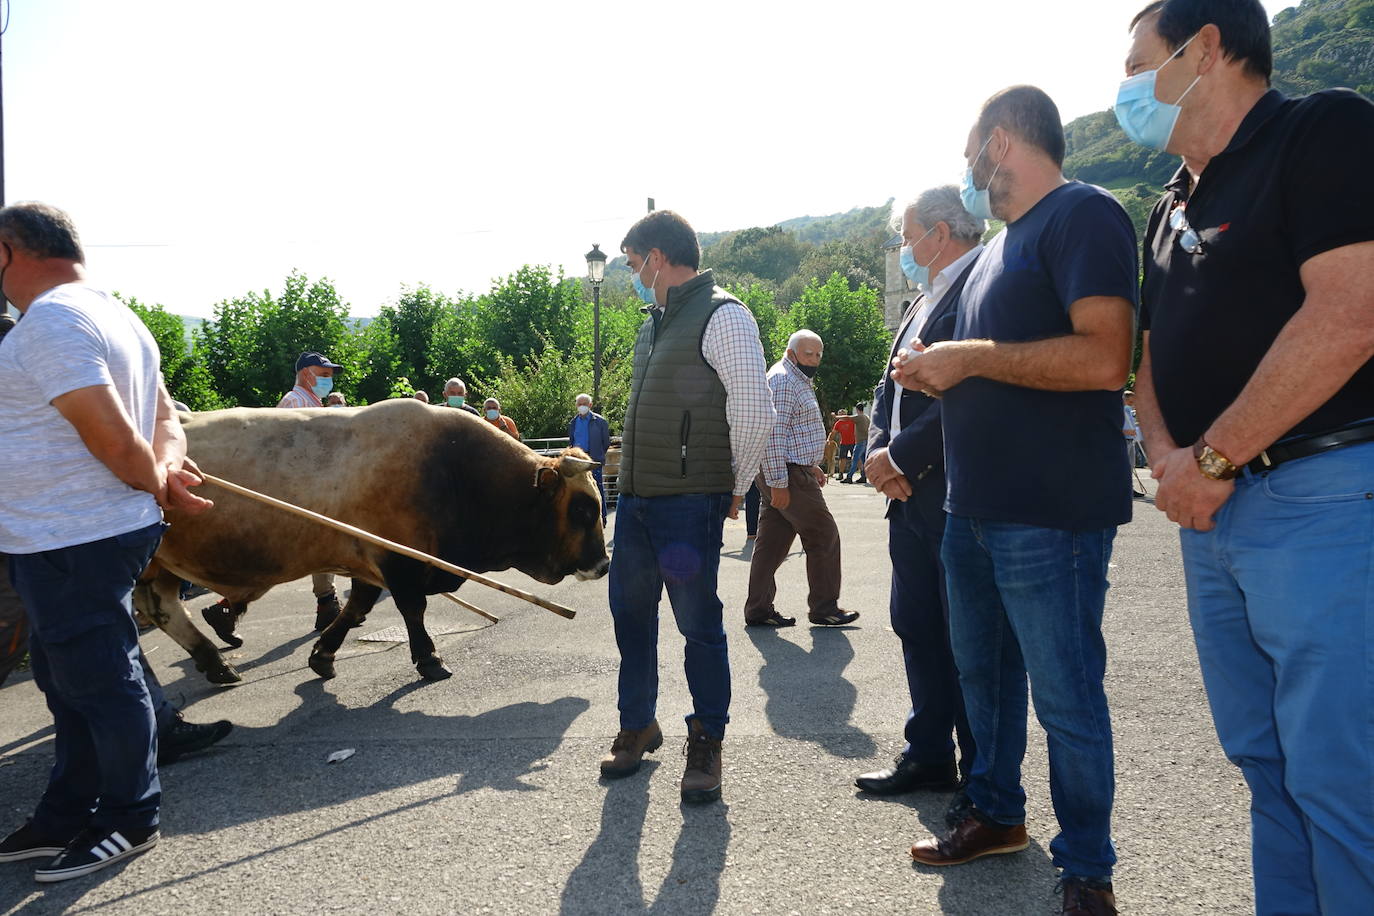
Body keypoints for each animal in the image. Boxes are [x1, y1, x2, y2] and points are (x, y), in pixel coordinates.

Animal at [138, 398, 607, 683]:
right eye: (584, 509)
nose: (603, 565)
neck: (453, 469)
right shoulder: (399, 561)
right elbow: (411, 610)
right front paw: (429, 658)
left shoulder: (368, 562)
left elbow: (356, 609)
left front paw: (323, 654)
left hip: (159, 566)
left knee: (162, 609)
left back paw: (215, 663)